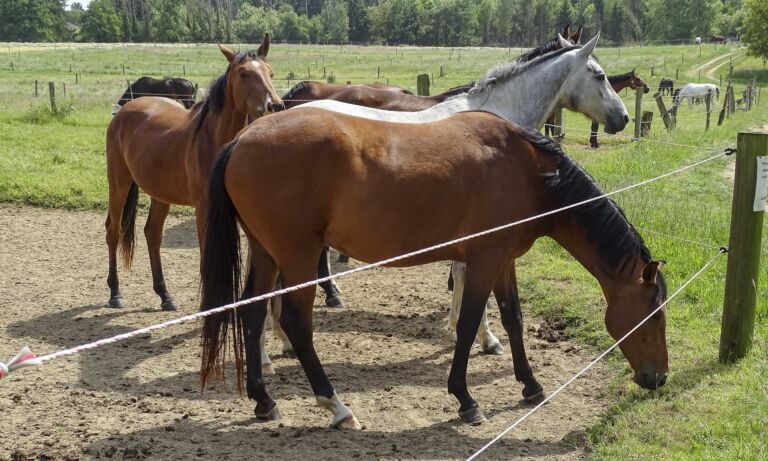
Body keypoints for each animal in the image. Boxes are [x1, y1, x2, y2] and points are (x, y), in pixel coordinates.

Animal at [102, 34, 282, 310]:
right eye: (243, 74)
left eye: (270, 72)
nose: (275, 105)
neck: (212, 138)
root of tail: (123, 111)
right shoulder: (204, 208)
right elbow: (206, 252)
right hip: (118, 183)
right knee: (113, 231)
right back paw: (115, 293)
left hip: (160, 194)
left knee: (152, 234)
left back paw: (165, 295)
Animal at [201, 109, 668, 430]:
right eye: (654, 315)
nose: (659, 378)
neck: (530, 172)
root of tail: (241, 140)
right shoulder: (484, 261)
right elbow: (468, 323)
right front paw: (466, 400)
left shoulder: (504, 261)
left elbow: (513, 320)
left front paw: (530, 385)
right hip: (297, 257)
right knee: (297, 325)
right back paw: (336, 406)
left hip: (266, 252)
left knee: (252, 314)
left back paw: (263, 400)